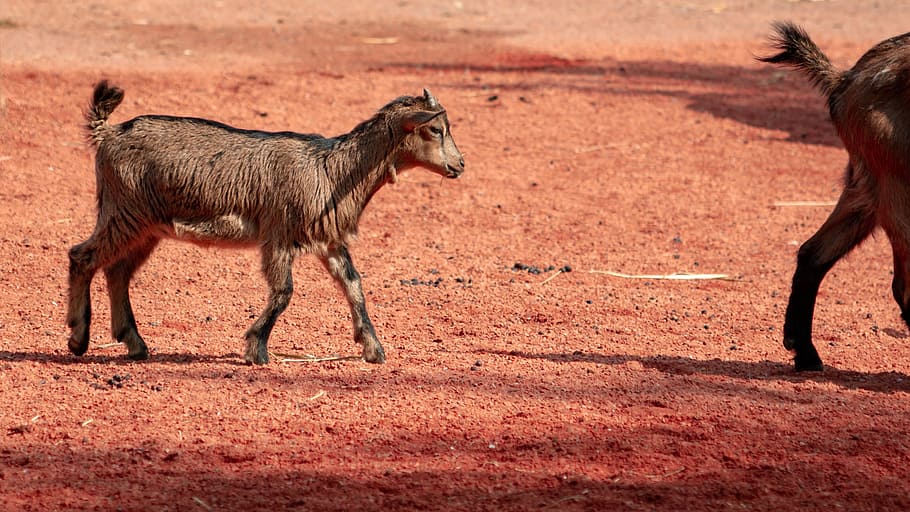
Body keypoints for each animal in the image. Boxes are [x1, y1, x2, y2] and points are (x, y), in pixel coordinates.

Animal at [67, 81, 466, 364]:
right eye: (435, 130)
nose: (460, 165)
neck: (331, 170)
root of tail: (107, 133)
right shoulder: (278, 235)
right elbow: (284, 291)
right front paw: (256, 348)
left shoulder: (328, 240)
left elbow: (353, 285)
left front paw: (373, 347)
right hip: (124, 212)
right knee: (82, 256)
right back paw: (78, 338)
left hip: (145, 225)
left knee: (117, 271)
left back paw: (134, 343)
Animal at [764, 22, 910, 370]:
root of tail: (845, 80)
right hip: (895, 181)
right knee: (905, 288)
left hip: (868, 186)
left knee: (813, 252)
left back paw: (805, 353)